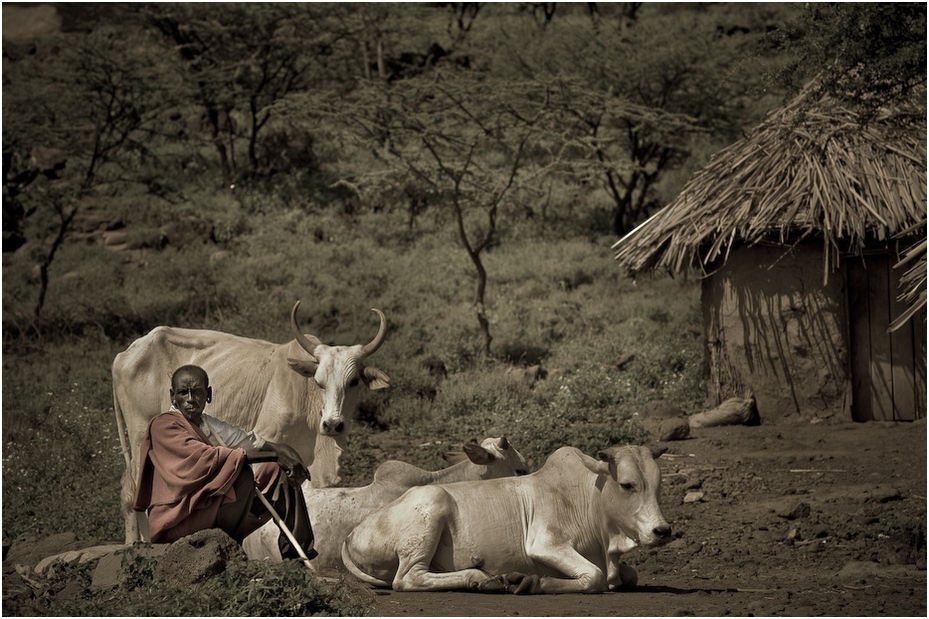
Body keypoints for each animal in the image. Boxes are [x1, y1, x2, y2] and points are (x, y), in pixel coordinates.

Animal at [112, 302, 388, 544]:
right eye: (318, 382)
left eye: (353, 382)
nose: (332, 425)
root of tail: (124, 354)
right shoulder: (268, 435)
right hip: (140, 436)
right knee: (136, 491)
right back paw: (139, 543)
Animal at [340, 446, 668, 596]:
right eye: (627, 484)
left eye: (658, 485)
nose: (663, 530)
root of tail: (352, 534)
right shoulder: (545, 544)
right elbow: (594, 576)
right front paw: (532, 581)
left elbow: (628, 576)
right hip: (431, 508)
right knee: (408, 578)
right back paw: (481, 578)